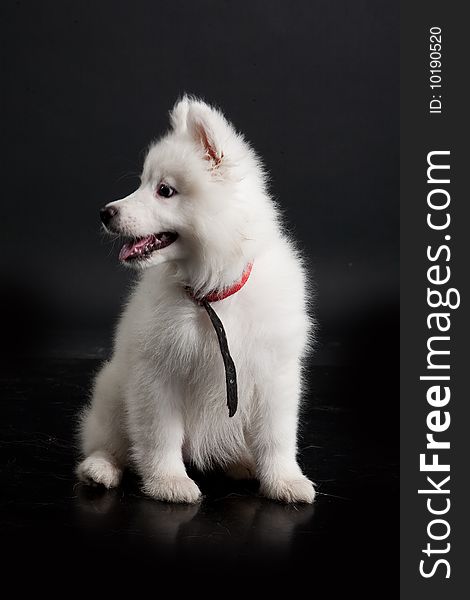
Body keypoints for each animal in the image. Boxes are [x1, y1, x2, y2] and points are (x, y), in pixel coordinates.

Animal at [78, 97, 316, 502]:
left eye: (165, 190)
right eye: (142, 183)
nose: (105, 212)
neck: (211, 294)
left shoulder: (275, 375)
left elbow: (277, 437)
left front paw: (284, 480)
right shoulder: (157, 374)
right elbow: (160, 436)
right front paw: (168, 482)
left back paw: (242, 462)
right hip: (112, 391)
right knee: (109, 443)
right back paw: (99, 469)